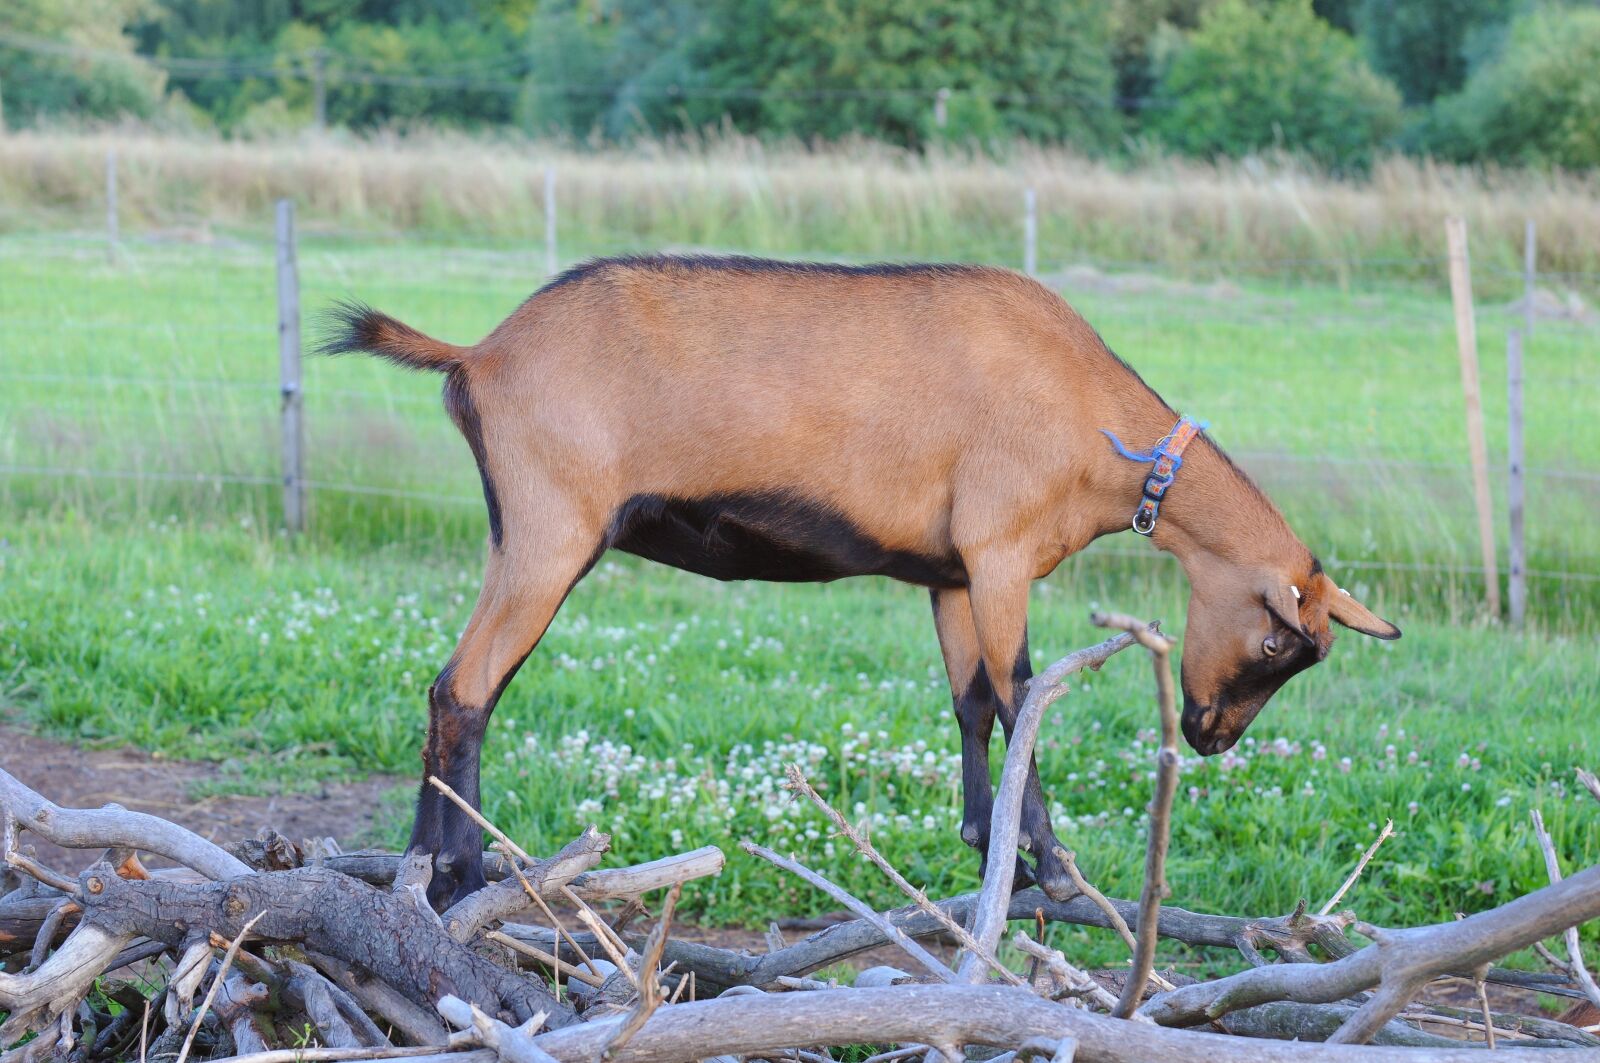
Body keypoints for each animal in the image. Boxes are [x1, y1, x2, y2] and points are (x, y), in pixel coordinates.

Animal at [322, 254, 1400, 909]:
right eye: (1279, 638)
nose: (1212, 735)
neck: (1096, 424)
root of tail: (478, 353)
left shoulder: (952, 572)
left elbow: (971, 702)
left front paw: (987, 847)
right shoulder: (1000, 551)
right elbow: (1024, 695)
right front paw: (1052, 868)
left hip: (525, 534)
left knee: (449, 684)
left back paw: (425, 870)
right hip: (552, 530)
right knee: (468, 685)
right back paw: (462, 874)